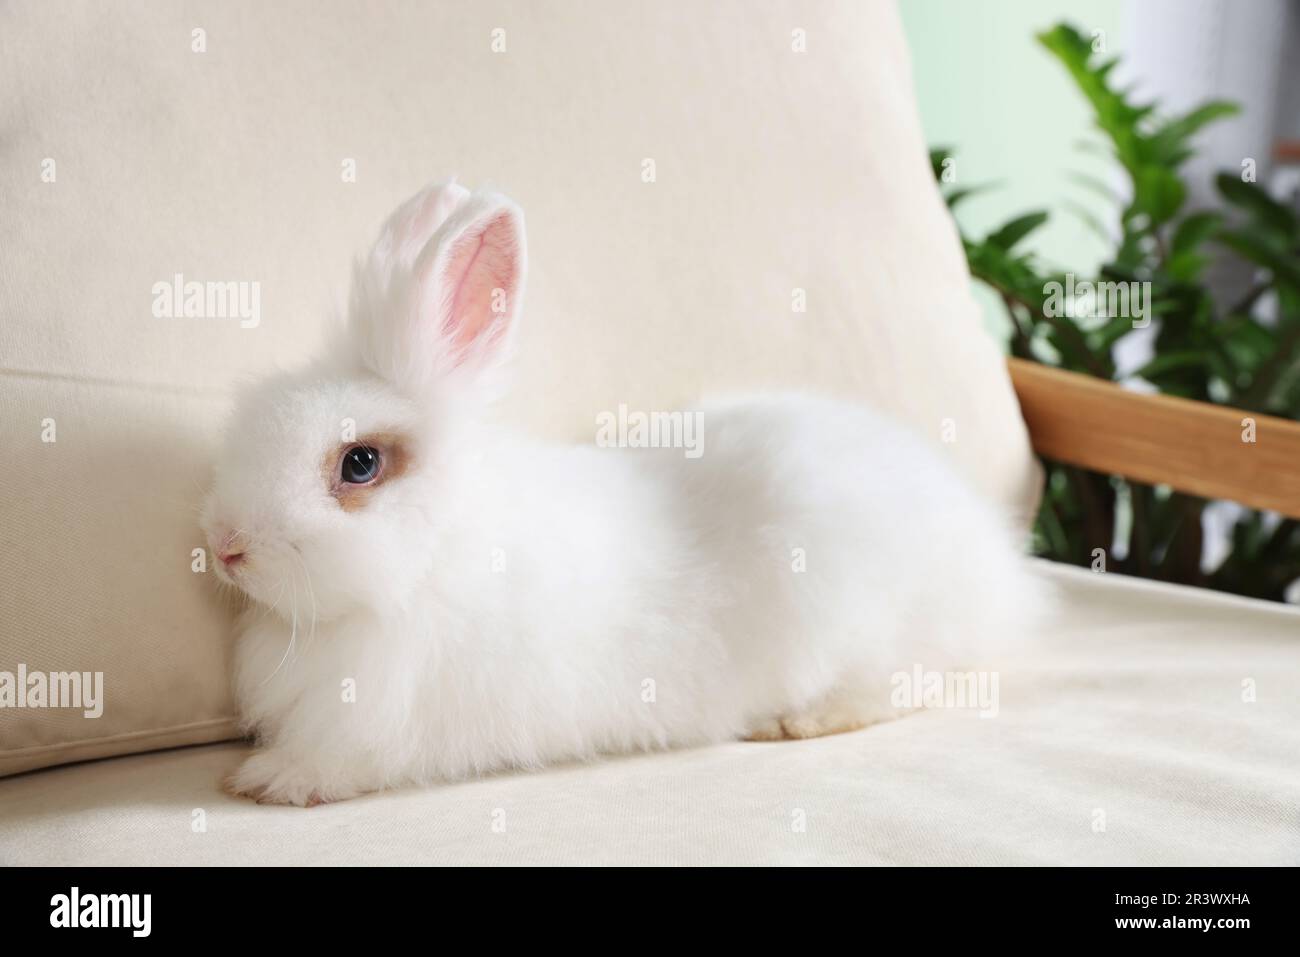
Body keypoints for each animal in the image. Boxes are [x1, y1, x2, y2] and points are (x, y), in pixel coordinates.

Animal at [201, 181, 1047, 806]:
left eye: (360, 464)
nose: (226, 544)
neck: (434, 557)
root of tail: (994, 562)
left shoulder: (400, 719)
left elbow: (346, 761)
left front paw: (270, 780)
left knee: (907, 681)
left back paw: (797, 720)